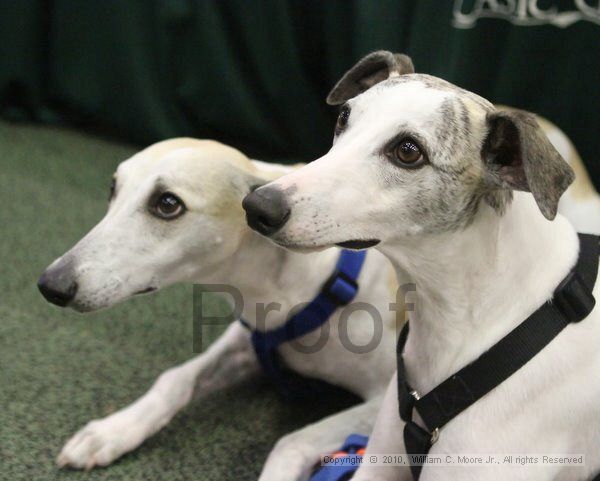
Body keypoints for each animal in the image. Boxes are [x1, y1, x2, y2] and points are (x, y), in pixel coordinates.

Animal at [39, 128, 596, 476]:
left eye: (168, 204)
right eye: (113, 189)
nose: (51, 284)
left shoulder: (383, 401)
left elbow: (293, 440)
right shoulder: (253, 339)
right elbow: (176, 379)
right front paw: (112, 431)